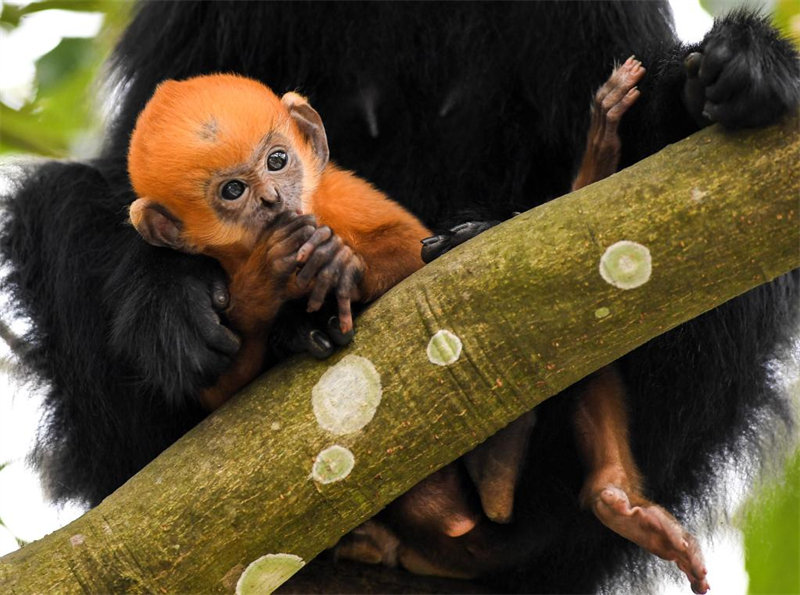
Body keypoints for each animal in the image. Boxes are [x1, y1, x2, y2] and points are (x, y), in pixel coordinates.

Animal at [128, 74, 432, 410]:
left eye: (276, 160)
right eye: (233, 190)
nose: (271, 198)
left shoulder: (336, 194)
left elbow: (413, 249)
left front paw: (337, 263)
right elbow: (225, 387)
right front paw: (266, 273)